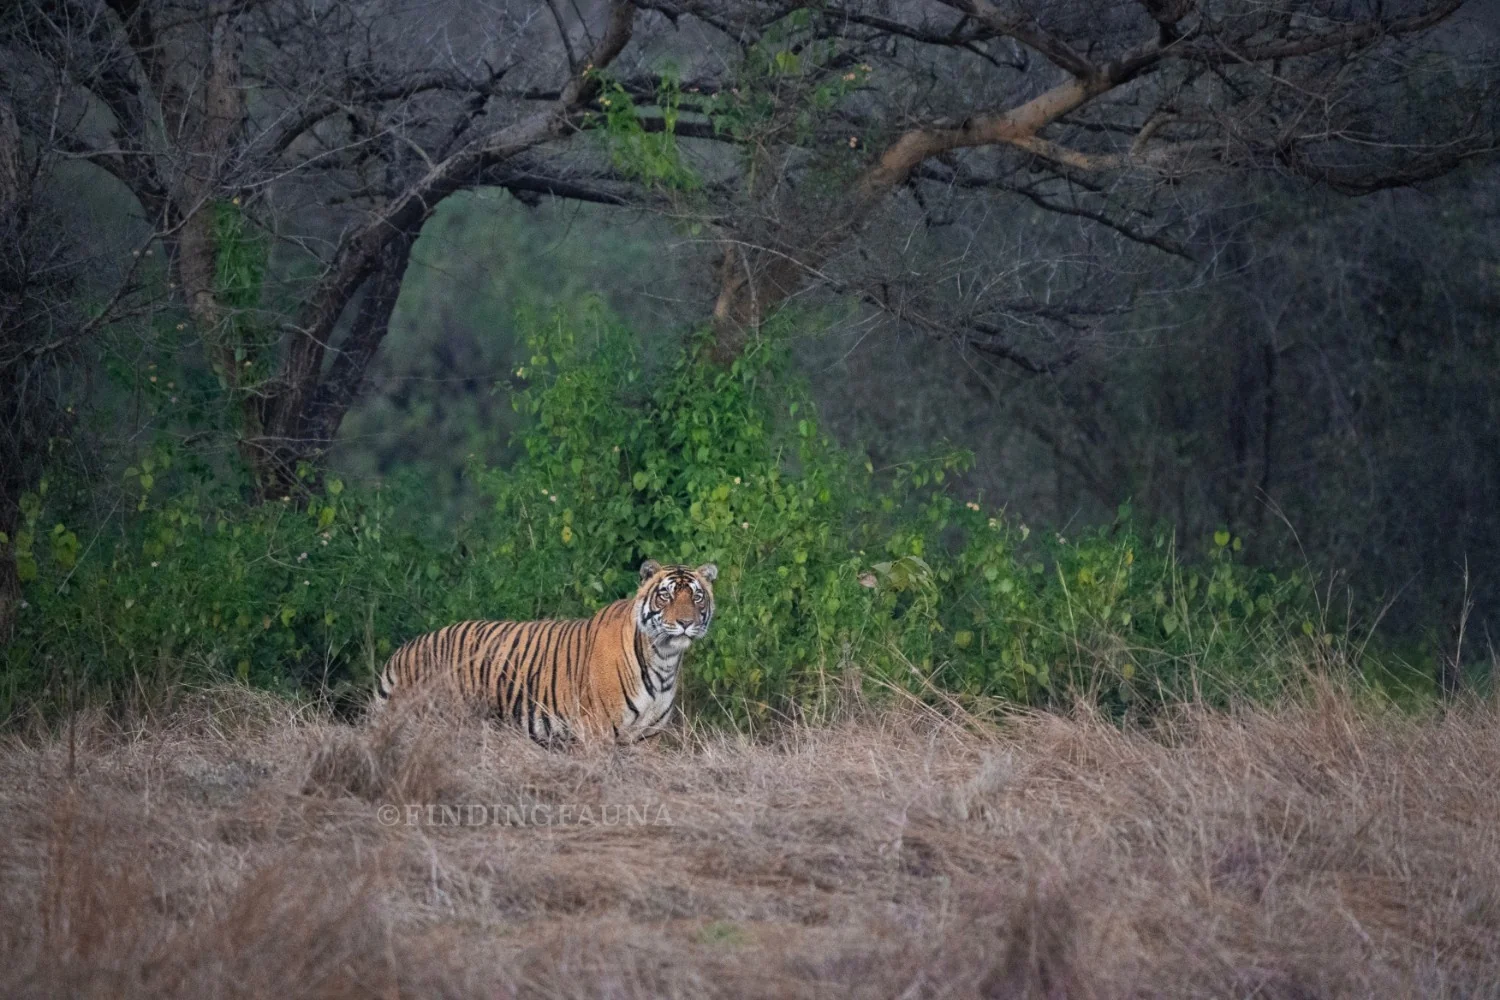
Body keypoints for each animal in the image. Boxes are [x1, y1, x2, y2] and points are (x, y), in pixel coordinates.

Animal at [374, 560, 716, 744]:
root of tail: (403, 651)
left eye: (697, 597)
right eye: (665, 595)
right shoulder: (597, 731)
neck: (663, 659)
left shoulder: (647, 737)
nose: (685, 623)